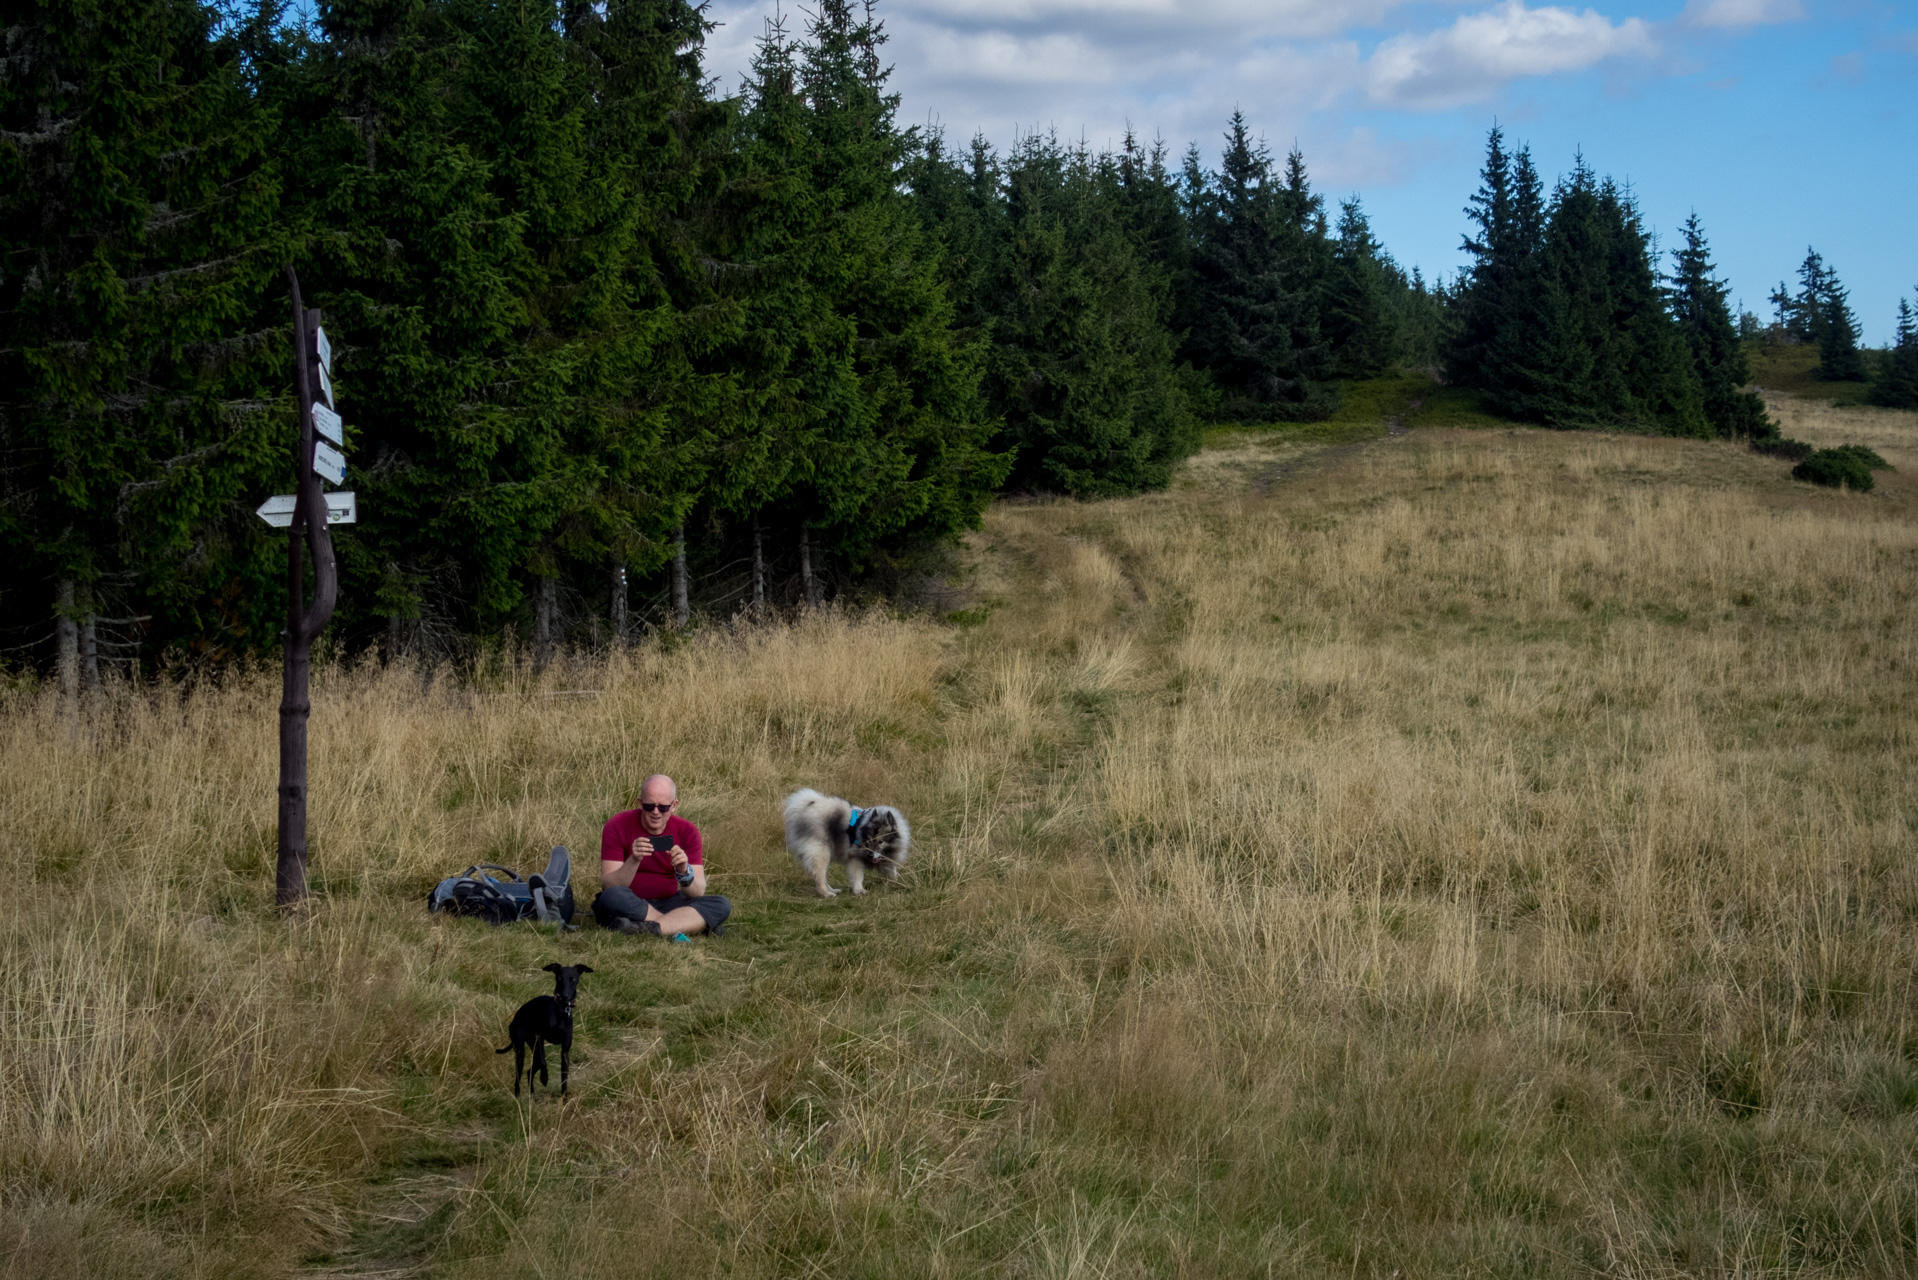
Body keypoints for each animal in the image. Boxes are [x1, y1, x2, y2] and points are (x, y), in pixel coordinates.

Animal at [494, 967, 590, 1097]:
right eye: (559, 978)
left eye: (573, 979)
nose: (565, 996)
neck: (560, 1011)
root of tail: (515, 1018)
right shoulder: (540, 1037)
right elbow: (543, 1062)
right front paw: (544, 1078)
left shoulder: (565, 1051)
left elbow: (564, 1080)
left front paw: (564, 1099)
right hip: (521, 1050)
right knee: (520, 1075)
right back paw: (518, 1096)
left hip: (532, 1046)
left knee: (530, 1071)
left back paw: (532, 1096)